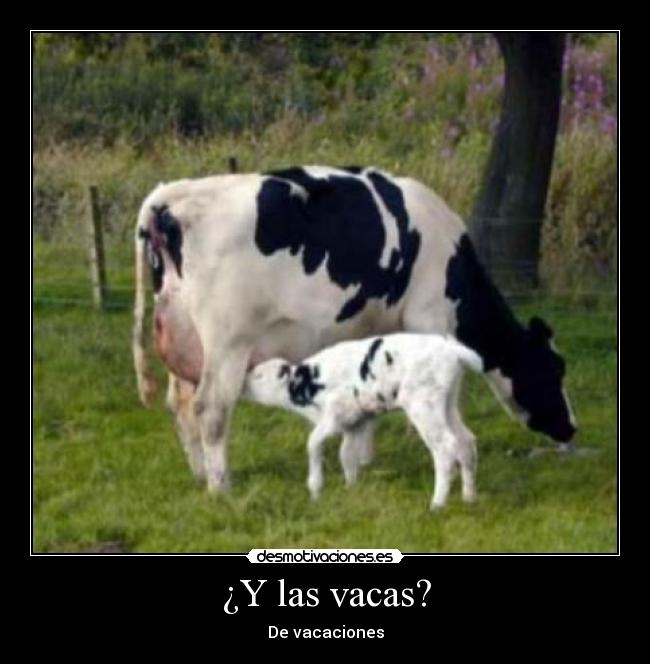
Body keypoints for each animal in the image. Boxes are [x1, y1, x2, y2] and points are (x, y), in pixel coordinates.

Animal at [132, 165, 576, 493]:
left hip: (184, 339)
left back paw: (199, 474)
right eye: (555, 369)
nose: (572, 428)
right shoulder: (429, 318)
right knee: (211, 408)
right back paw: (221, 487)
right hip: (228, 343)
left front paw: (363, 456)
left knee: (181, 405)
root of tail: (170, 196)